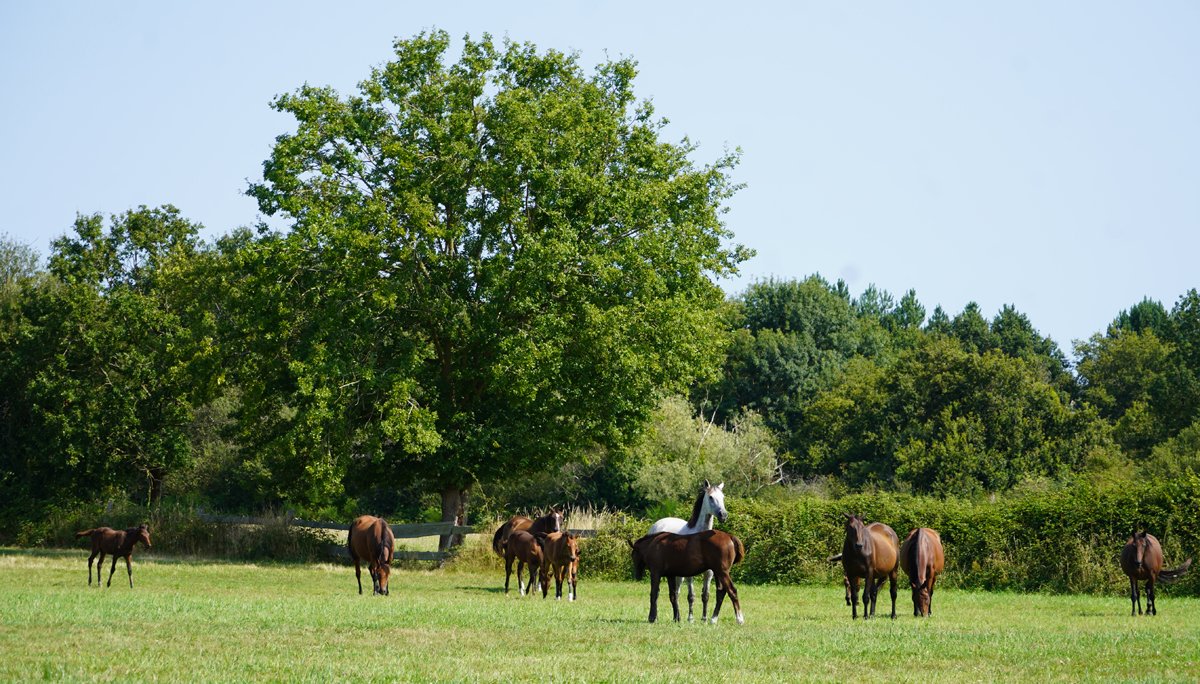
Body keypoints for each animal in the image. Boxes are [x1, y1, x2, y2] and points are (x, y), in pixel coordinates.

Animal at [646, 480, 728, 621]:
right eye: (711, 497)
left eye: (723, 497)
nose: (723, 515)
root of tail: (657, 524)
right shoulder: (690, 574)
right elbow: (691, 596)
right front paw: (690, 618)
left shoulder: (709, 573)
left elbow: (705, 595)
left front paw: (704, 618)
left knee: (676, 593)